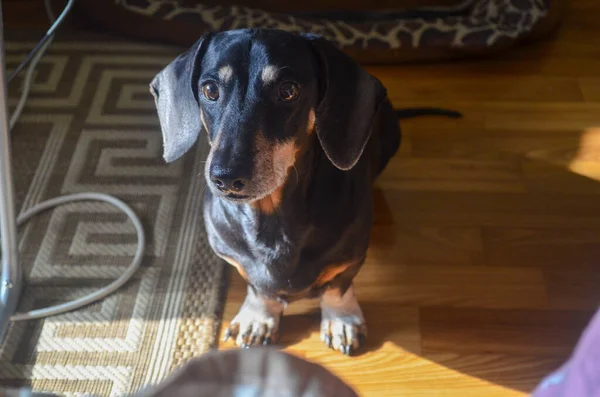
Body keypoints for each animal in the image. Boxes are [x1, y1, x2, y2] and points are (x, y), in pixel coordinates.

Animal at [150, 28, 460, 356]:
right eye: (210, 89)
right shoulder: (232, 255)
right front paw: (258, 317)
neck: (272, 217)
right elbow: (257, 286)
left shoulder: (349, 260)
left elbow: (338, 287)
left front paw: (341, 320)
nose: (226, 177)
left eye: (288, 90)